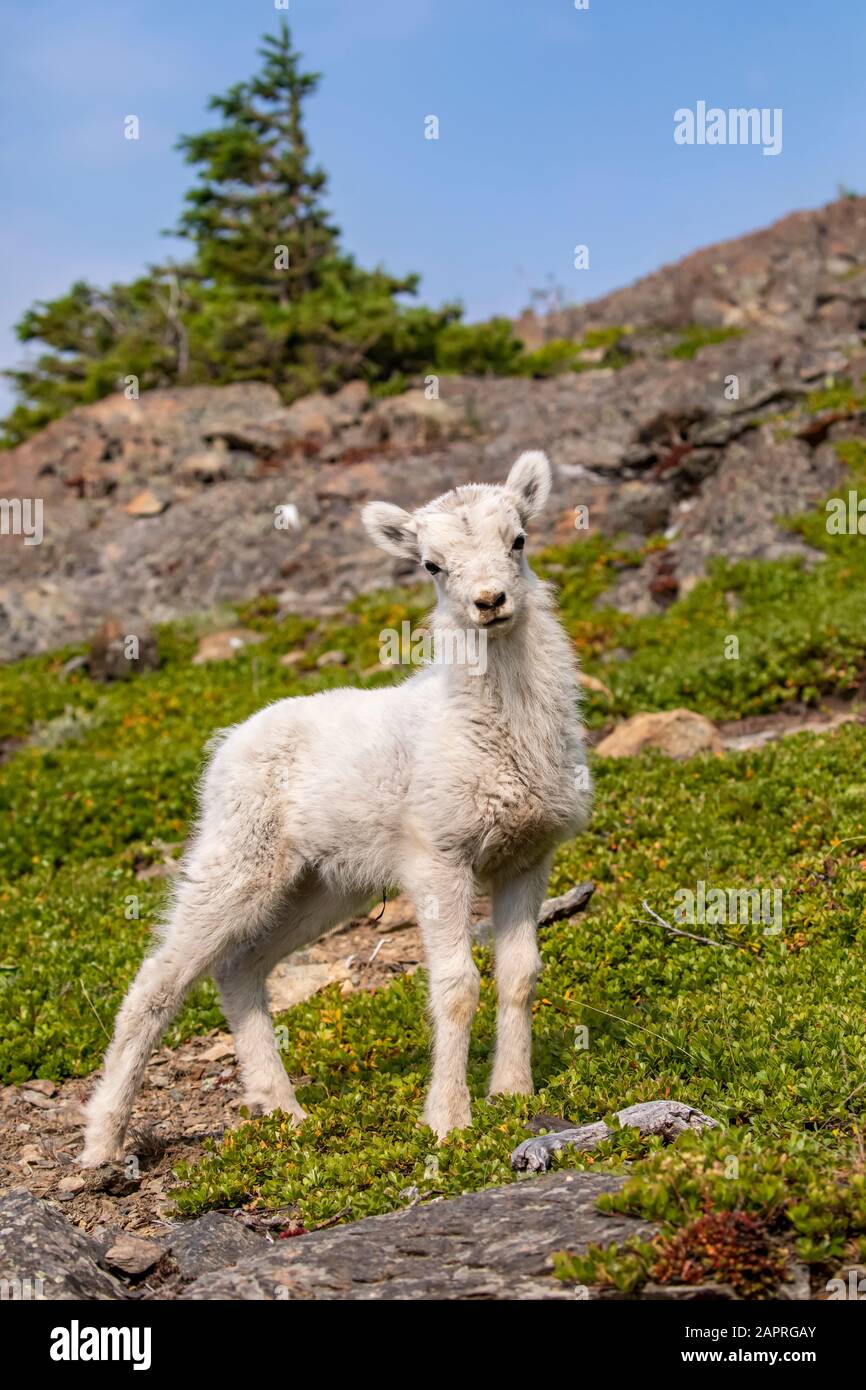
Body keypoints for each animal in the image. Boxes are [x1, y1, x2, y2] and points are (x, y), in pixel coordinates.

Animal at [81, 450, 592, 1167]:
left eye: (518, 540)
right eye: (430, 565)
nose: (490, 602)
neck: (496, 731)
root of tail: (226, 742)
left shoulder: (528, 855)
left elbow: (520, 975)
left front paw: (513, 1095)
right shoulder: (439, 857)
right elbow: (455, 987)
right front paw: (448, 1121)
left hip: (320, 884)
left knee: (239, 968)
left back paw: (282, 1110)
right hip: (237, 856)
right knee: (158, 980)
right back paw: (102, 1141)